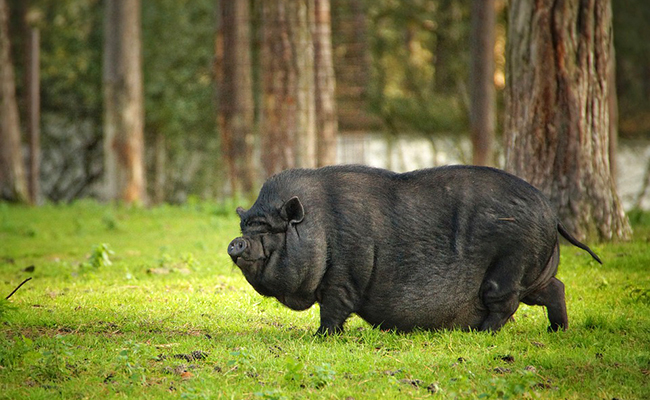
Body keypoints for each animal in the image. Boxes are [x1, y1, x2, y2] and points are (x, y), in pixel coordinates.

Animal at [227, 165, 596, 334]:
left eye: (270, 229)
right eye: (246, 226)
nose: (236, 242)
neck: (319, 228)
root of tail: (552, 213)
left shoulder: (344, 277)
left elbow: (332, 310)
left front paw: (319, 337)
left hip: (510, 264)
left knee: (504, 305)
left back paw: (481, 333)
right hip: (535, 270)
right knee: (556, 288)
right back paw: (557, 330)